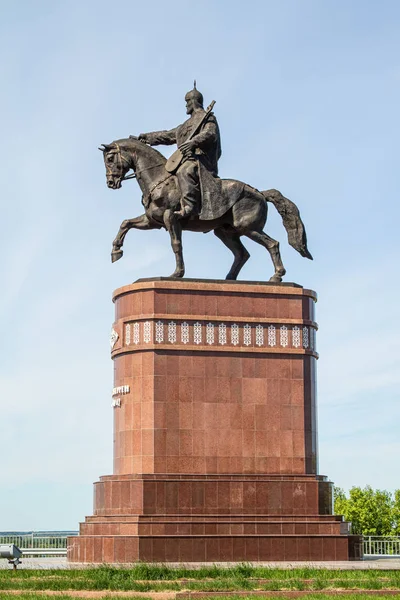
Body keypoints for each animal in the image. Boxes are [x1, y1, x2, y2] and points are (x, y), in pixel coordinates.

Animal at [98, 136, 310, 282]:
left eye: (110, 158)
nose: (110, 183)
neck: (159, 179)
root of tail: (260, 193)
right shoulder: (152, 221)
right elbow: (125, 223)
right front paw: (116, 250)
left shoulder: (170, 218)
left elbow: (176, 244)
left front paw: (177, 273)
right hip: (225, 232)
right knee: (242, 254)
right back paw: (229, 279)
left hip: (248, 228)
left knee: (273, 244)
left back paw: (277, 276)